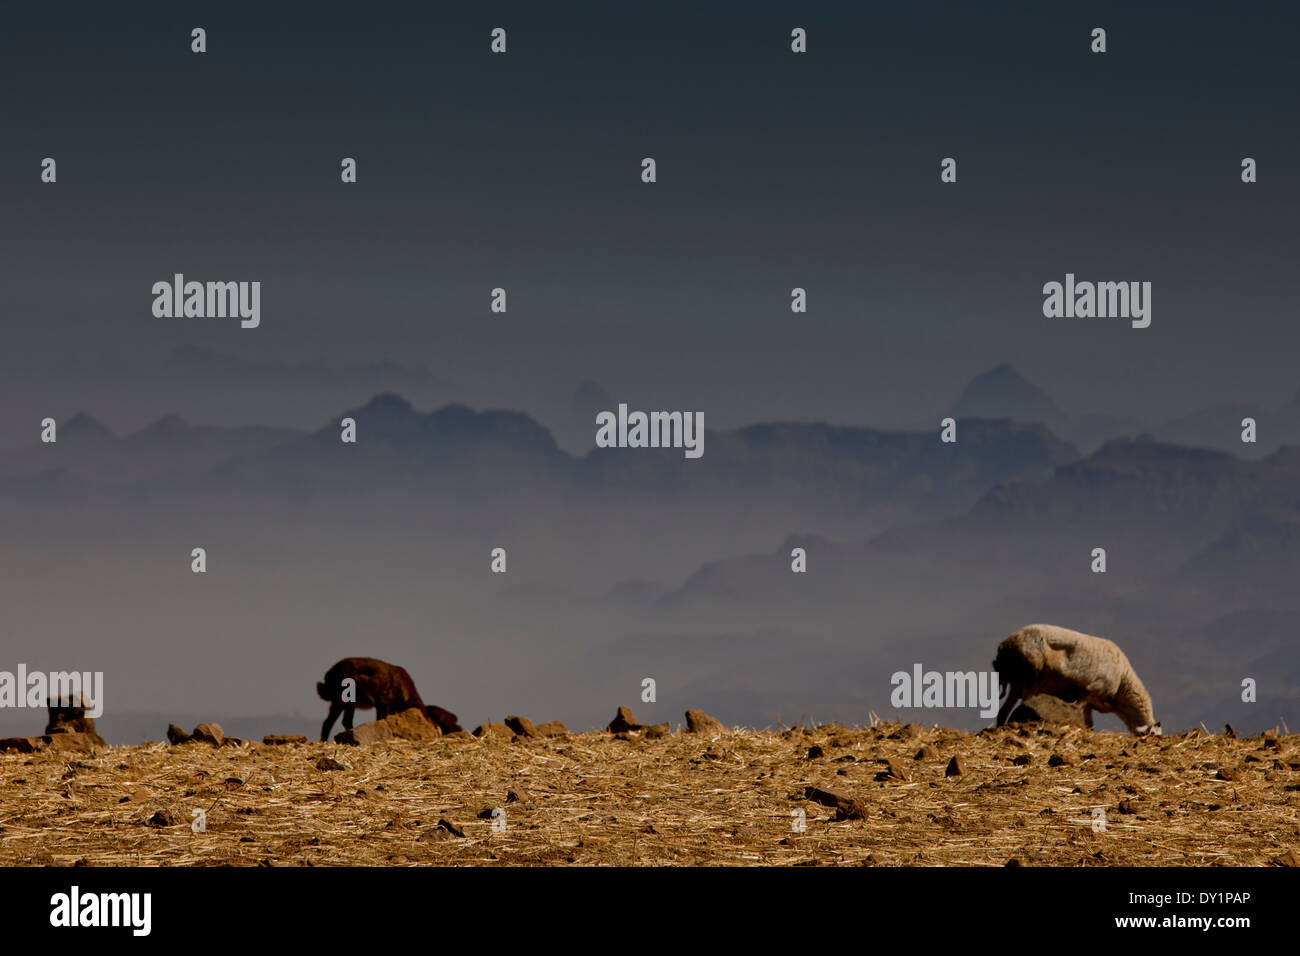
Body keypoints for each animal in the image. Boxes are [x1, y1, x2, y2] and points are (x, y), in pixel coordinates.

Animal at [987, 624, 1164, 738]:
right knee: (1023, 703)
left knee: (1003, 711)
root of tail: (1005, 646)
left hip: (1016, 683)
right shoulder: (1089, 692)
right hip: (1031, 677)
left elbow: (1090, 725)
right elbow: (1076, 710)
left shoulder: (1092, 703)